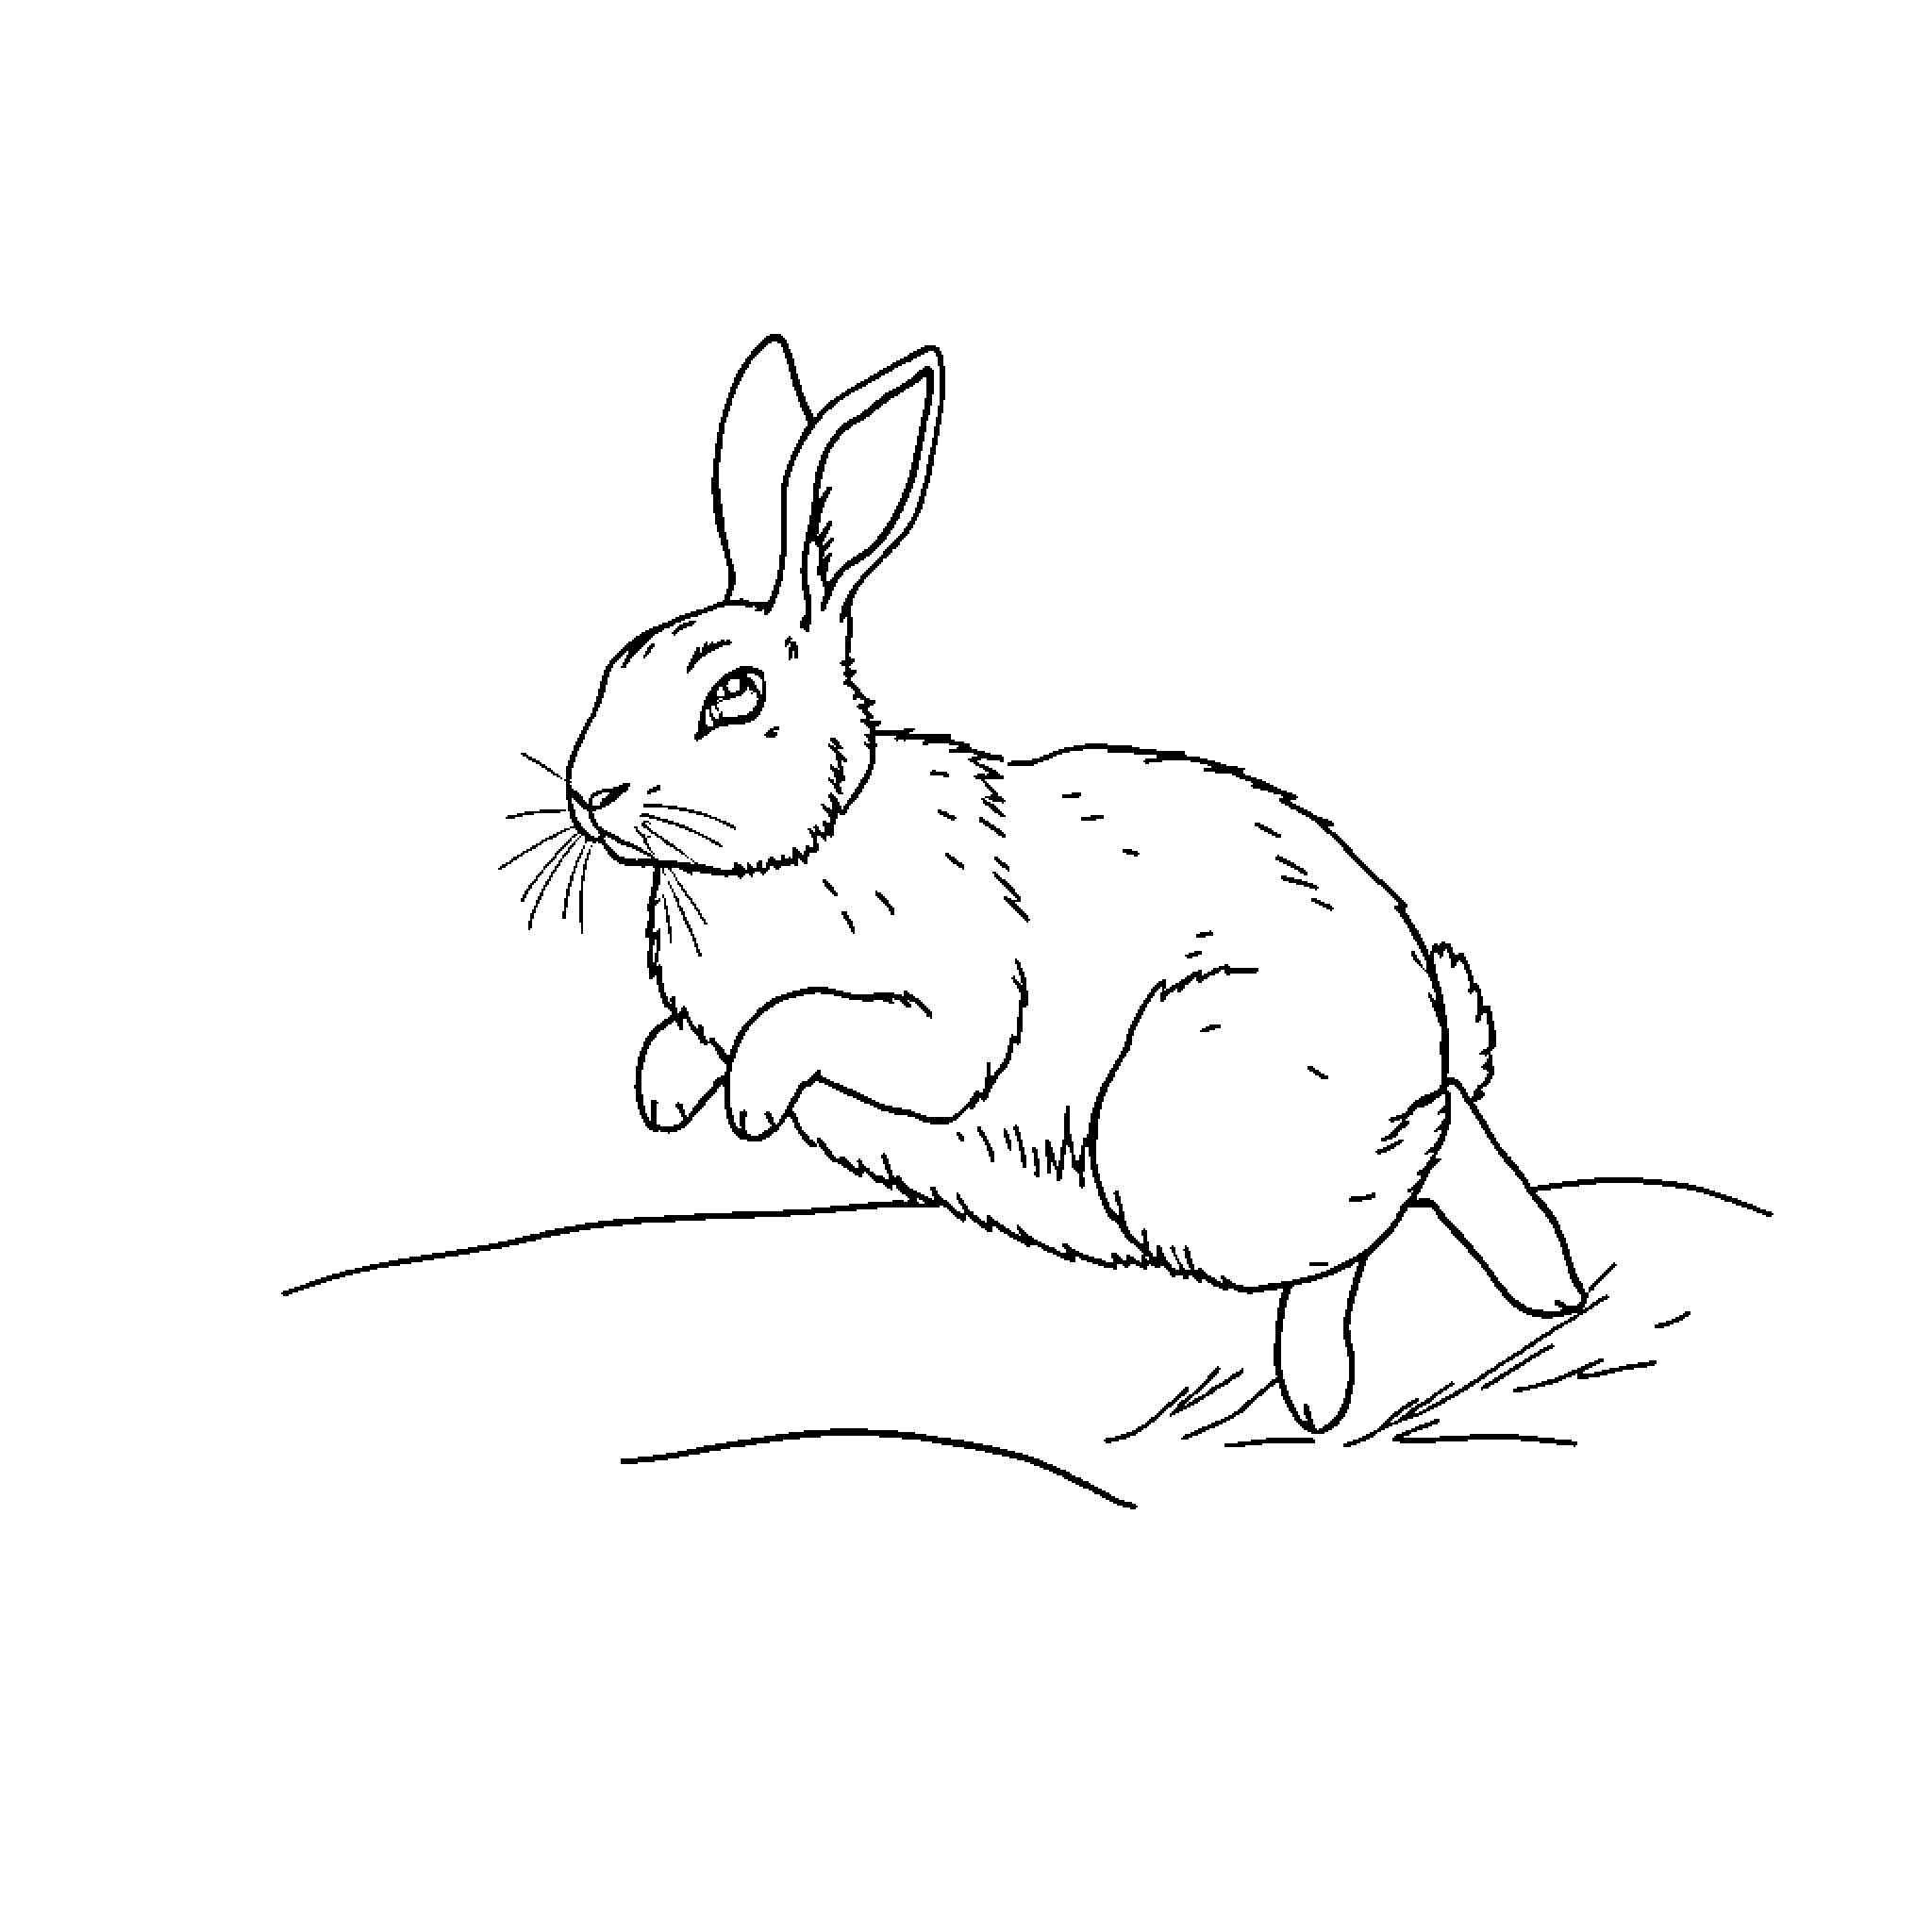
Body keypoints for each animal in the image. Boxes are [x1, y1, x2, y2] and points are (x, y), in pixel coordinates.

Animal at [558, 335, 1587, 1433]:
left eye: (735, 695)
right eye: (617, 666)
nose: (589, 794)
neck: (807, 845)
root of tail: (1424, 1031)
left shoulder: (945, 1016)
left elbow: (815, 1021)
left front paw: (749, 1098)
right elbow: (682, 1035)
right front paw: (664, 1093)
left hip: (1186, 1125)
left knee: (1384, 1194)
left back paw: (1322, 1384)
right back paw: (1550, 1287)